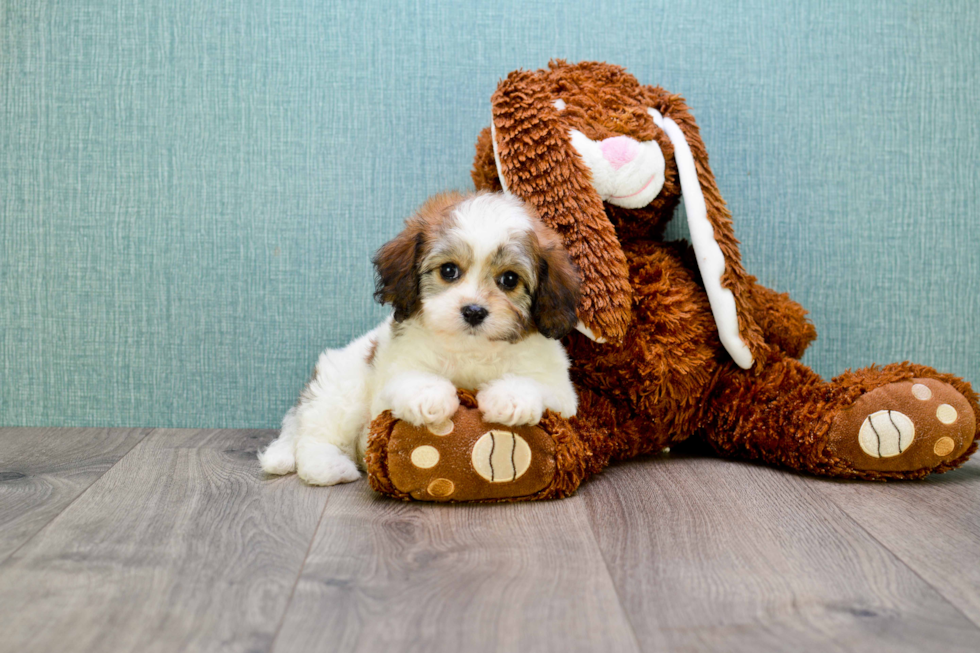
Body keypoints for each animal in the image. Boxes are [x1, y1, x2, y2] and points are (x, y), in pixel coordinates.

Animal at [258, 188, 580, 484]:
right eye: (448, 271)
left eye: (510, 279)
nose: (474, 311)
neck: (471, 349)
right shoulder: (395, 369)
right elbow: (411, 377)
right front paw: (430, 397)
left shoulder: (562, 392)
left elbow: (536, 384)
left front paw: (510, 399)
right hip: (341, 389)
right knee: (314, 437)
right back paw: (329, 466)